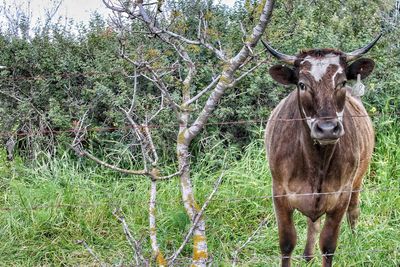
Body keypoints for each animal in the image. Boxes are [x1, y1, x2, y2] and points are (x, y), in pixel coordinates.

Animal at [264, 34, 380, 266]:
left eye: (342, 82)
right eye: (301, 85)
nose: (327, 128)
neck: (315, 162)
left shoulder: (341, 195)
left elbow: (328, 245)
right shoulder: (279, 193)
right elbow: (287, 243)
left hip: (359, 179)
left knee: (354, 210)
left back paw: (354, 240)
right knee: (312, 222)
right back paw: (308, 256)